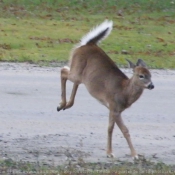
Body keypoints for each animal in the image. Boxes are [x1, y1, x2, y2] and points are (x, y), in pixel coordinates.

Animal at [56, 20, 154, 159]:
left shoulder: (113, 108)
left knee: (74, 80)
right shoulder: (114, 107)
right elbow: (124, 130)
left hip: (81, 74)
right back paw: (61, 105)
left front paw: (109, 152)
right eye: (141, 76)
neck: (124, 91)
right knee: (63, 71)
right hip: (76, 69)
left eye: (151, 75)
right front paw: (134, 155)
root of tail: (89, 43)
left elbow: (110, 128)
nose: (151, 85)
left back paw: (67, 105)